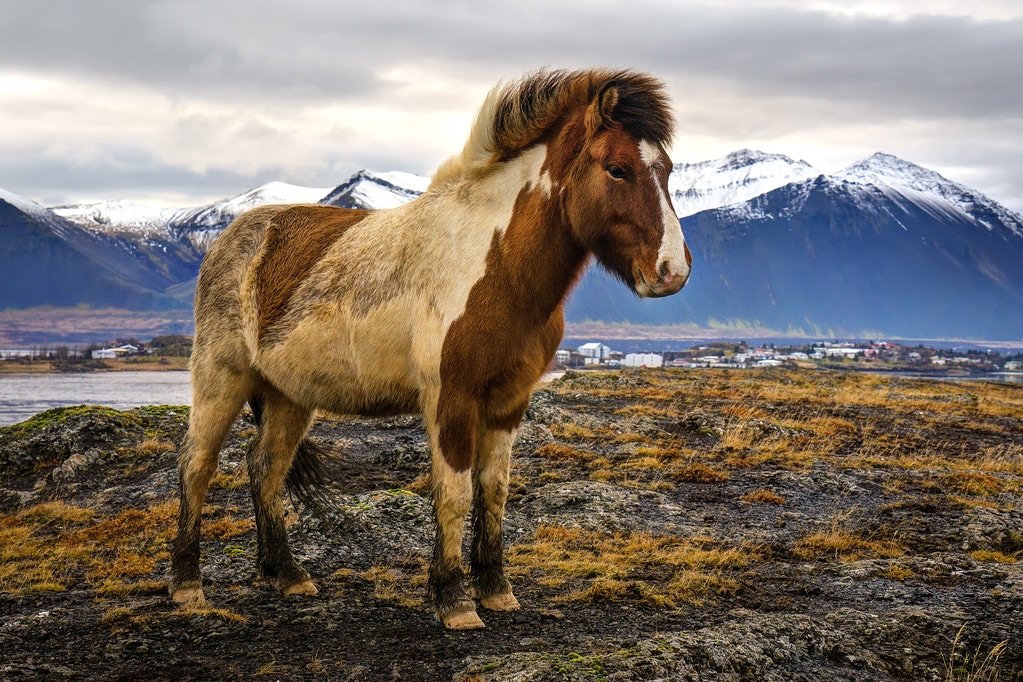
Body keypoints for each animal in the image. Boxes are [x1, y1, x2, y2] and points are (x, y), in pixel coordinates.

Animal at [171, 69, 691, 629]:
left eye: (666, 169)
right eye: (617, 169)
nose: (673, 270)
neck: (495, 265)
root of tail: (234, 237)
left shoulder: (510, 401)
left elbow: (494, 490)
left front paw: (496, 589)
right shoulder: (451, 398)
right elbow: (455, 494)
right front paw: (454, 600)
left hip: (289, 396)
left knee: (266, 468)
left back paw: (287, 575)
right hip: (221, 376)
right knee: (197, 466)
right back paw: (187, 586)